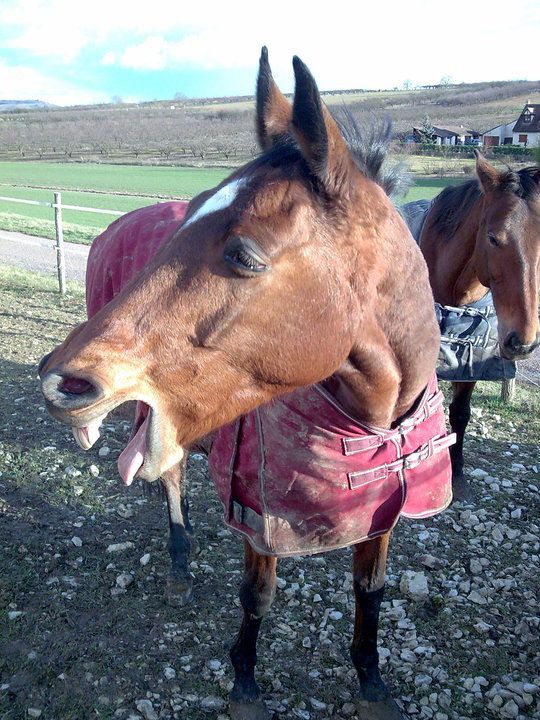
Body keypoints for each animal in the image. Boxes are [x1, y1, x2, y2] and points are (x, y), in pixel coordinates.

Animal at [38, 48, 454, 720]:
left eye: (246, 255)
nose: (60, 381)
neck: (373, 421)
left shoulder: (381, 514)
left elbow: (370, 590)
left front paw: (371, 682)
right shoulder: (261, 519)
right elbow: (257, 595)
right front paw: (244, 684)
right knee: (172, 480)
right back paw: (180, 564)